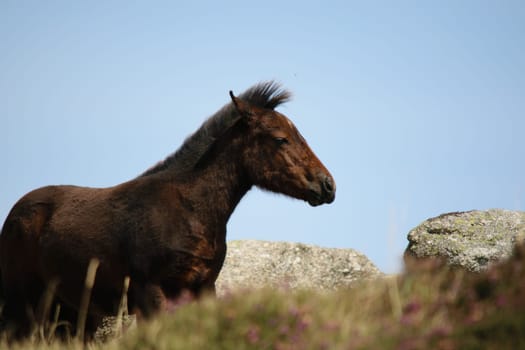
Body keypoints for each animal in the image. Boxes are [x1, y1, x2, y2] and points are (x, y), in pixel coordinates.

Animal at [0, 82, 336, 340]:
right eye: (281, 139)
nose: (327, 185)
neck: (190, 211)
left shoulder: (202, 288)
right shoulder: (151, 291)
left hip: (68, 309)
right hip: (22, 300)